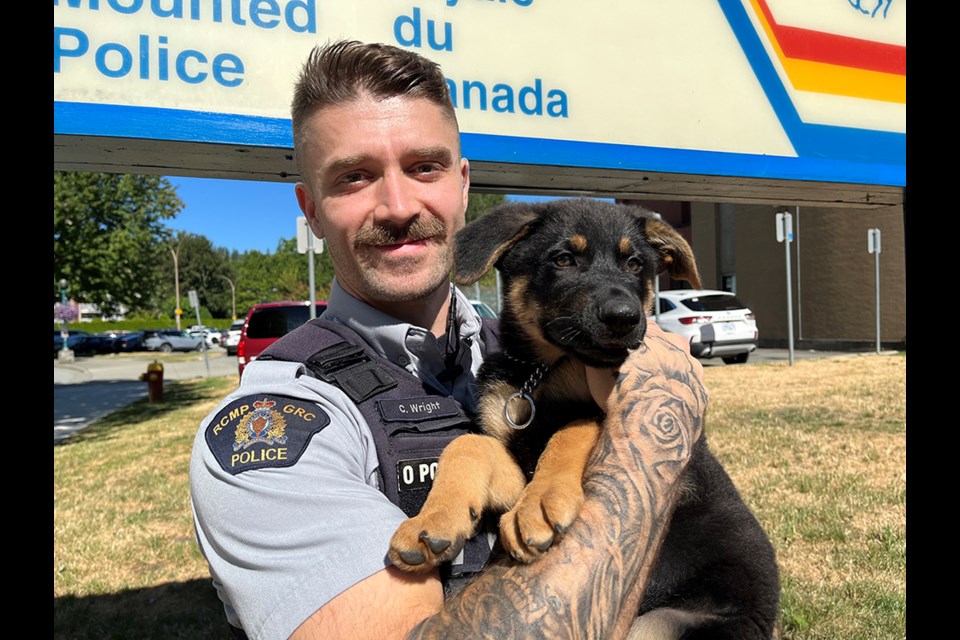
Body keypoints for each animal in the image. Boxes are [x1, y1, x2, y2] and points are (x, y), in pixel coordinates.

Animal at [390, 198, 780, 636]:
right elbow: (468, 443)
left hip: (664, 624)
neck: (545, 370)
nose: (625, 317)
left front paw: (541, 501)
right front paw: (435, 518)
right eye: (563, 259)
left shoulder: (604, 410)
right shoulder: (515, 464)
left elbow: (574, 428)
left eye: (634, 264)